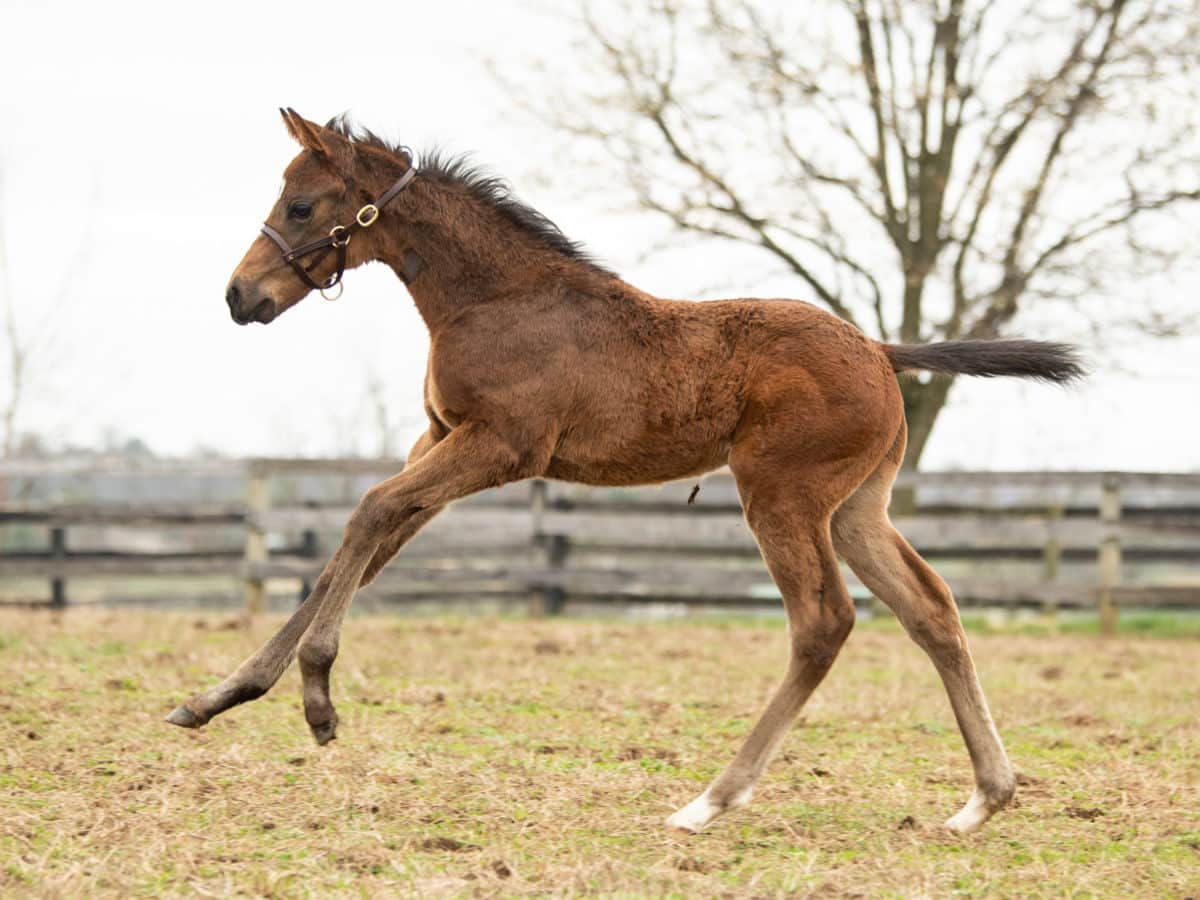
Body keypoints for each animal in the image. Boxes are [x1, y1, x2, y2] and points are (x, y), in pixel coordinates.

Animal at [171, 111, 1089, 840]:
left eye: (301, 205)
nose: (238, 296)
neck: (496, 298)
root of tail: (877, 348)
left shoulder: (503, 447)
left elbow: (367, 514)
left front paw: (318, 698)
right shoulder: (438, 437)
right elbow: (362, 546)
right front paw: (221, 695)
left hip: (782, 496)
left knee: (824, 622)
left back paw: (710, 801)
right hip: (857, 507)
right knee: (931, 611)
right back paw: (984, 798)